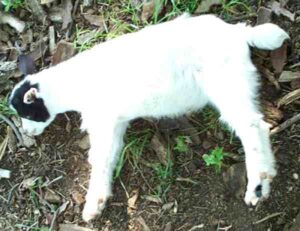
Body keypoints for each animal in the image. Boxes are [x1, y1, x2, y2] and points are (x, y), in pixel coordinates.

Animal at [8, 14, 288, 222]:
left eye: (27, 112)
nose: (28, 134)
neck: (72, 84)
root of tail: (238, 34)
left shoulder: (102, 119)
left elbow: (99, 159)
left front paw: (92, 204)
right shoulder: (115, 122)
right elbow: (109, 157)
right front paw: (99, 200)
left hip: (225, 82)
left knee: (252, 126)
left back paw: (257, 186)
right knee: (258, 125)